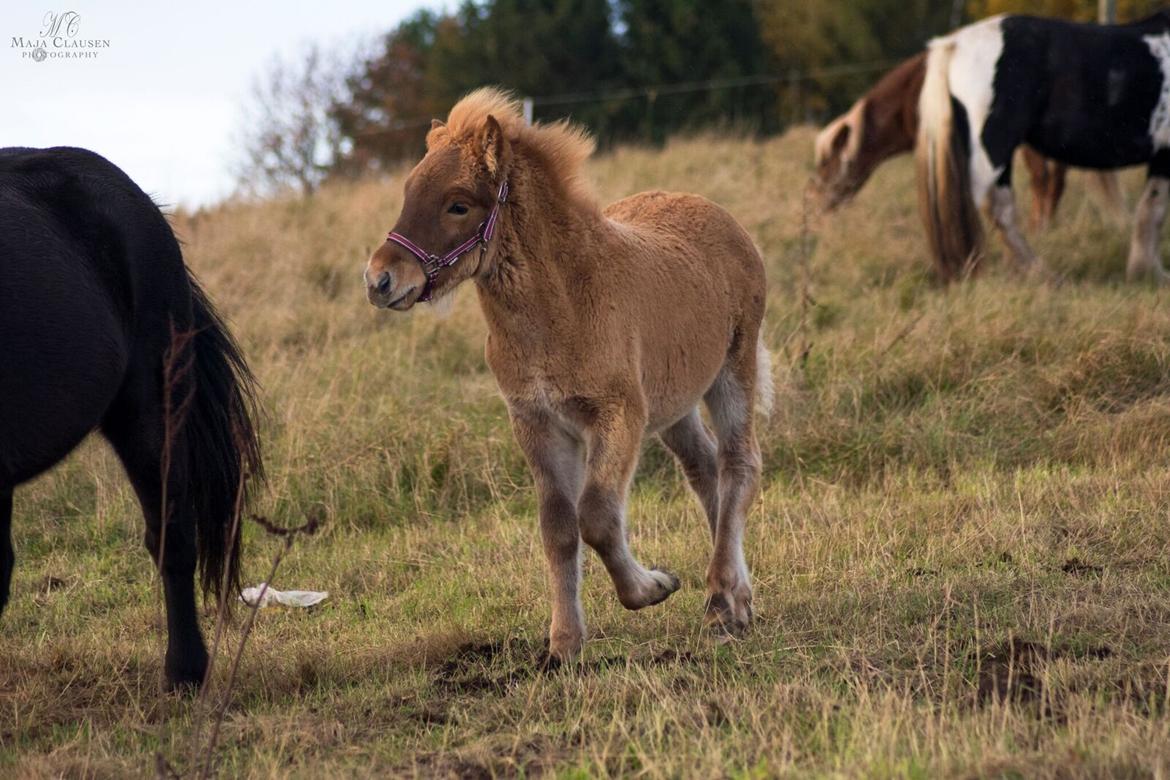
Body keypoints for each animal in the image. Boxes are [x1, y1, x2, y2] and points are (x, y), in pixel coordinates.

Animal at [360, 90, 772, 664]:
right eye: (408, 191)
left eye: (458, 204)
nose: (379, 279)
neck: (562, 307)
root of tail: (718, 214)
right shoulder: (537, 423)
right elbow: (557, 528)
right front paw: (564, 645)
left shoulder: (618, 415)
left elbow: (595, 515)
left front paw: (652, 587)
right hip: (675, 404)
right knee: (705, 469)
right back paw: (736, 599)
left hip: (733, 369)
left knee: (738, 465)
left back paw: (720, 601)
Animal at [917, 12, 1170, 280]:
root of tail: (953, 44)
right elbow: (1154, 211)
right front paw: (1151, 273)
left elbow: (1150, 209)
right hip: (992, 150)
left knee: (1000, 211)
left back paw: (1035, 273)